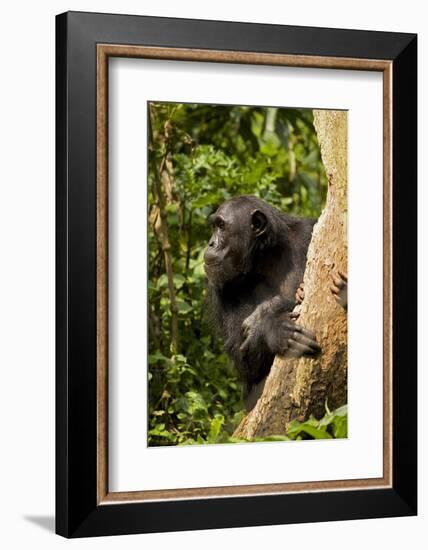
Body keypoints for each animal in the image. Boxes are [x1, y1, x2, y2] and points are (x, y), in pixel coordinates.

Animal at [204, 196, 320, 412]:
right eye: (215, 226)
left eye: (221, 226)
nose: (211, 243)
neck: (264, 259)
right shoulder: (220, 287)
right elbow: (244, 360)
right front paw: (272, 328)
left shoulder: (308, 231)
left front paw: (270, 310)